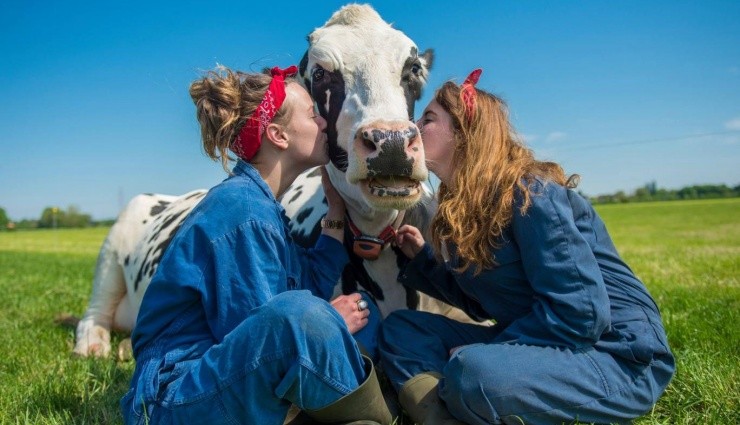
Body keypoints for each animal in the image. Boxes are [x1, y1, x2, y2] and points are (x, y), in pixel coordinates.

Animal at [73, 4, 468, 358]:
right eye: (320, 73)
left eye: (413, 68)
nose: (391, 142)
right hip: (112, 247)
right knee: (93, 314)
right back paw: (96, 345)